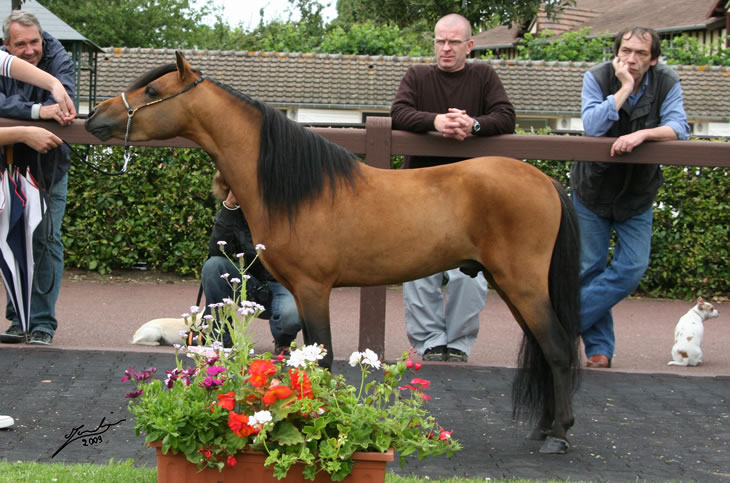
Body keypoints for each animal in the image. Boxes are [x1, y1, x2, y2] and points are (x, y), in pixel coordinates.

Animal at [85, 52, 584, 454]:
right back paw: (544, 428)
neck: (296, 187)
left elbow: (320, 360)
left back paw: (559, 436)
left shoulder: (313, 289)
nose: (94, 118)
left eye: (152, 91)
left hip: (523, 285)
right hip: (509, 284)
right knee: (545, 350)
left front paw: (320, 423)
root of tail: (546, 181)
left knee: (558, 349)